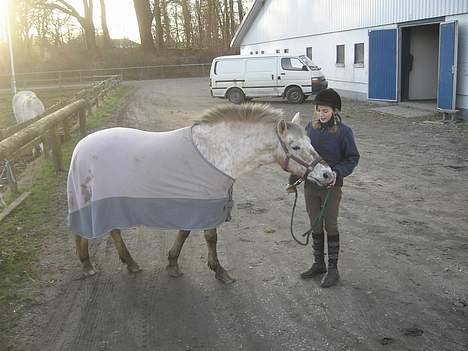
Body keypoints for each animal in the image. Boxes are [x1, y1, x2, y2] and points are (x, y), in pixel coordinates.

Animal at [68, 103, 332, 284]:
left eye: (311, 142)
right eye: (295, 147)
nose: (328, 174)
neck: (216, 152)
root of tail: (80, 147)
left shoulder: (197, 203)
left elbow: (184, 233)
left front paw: (172, 264)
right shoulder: (207, 203)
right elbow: (210, 237)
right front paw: (220, 272)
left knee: (111, 229)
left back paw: (129, 264)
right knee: (87, 230)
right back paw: (88, 266)